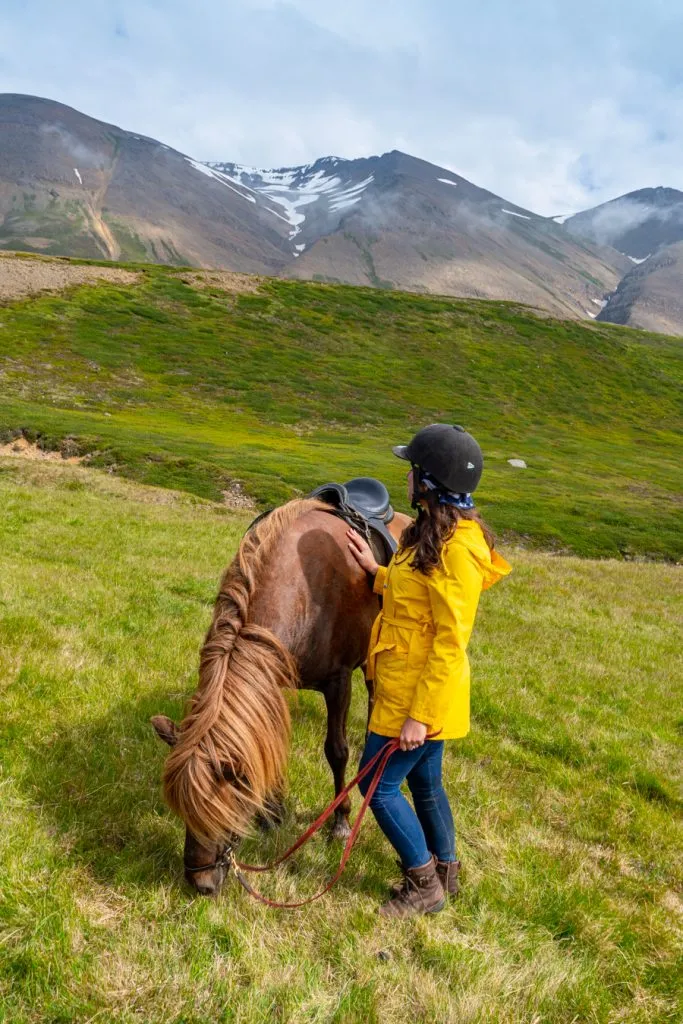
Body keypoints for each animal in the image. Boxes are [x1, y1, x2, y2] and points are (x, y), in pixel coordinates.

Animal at [152, 499, 411, 892]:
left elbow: (337, 752)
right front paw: (271, 814)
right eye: (183, 811)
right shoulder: (274, 679)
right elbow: (271, 744)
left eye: (224, 809)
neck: (305, 588)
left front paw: (340, 820)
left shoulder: (338, 682)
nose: (201, 883)